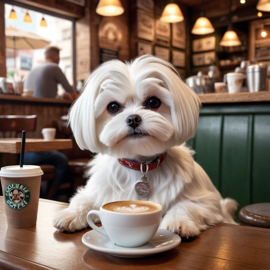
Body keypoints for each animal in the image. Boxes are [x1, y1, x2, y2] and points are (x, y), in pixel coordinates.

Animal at [53, 54, 237, 236]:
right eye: (112, 107)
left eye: (153, 102)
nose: (133, 118)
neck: (140, 165)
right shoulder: (97, 191)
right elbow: (83, 200)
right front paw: (70, 214)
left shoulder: (208, 203)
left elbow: (187, 205)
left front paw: (178, 221)